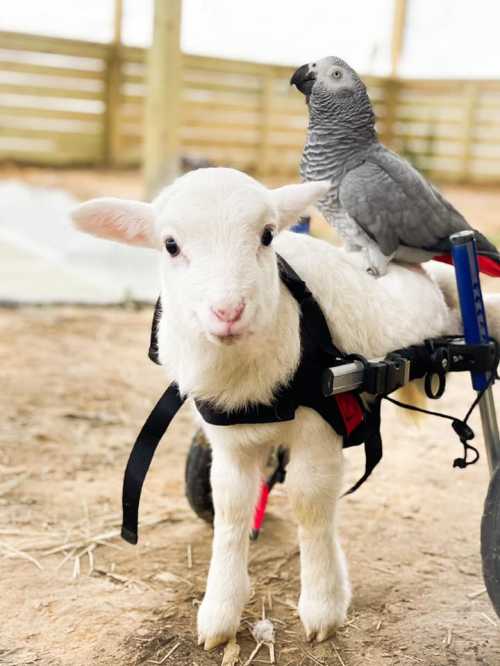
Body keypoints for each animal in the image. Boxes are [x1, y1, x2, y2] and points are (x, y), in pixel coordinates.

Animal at [72, 167, 498, 648]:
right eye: (170, 245)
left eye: (267, 235)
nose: (228, 311)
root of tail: (415, 270)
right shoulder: (229, 441)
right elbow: (231, 507)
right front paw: (219, 612)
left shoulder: (321, 427)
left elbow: (310, 503)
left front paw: (323, 606)